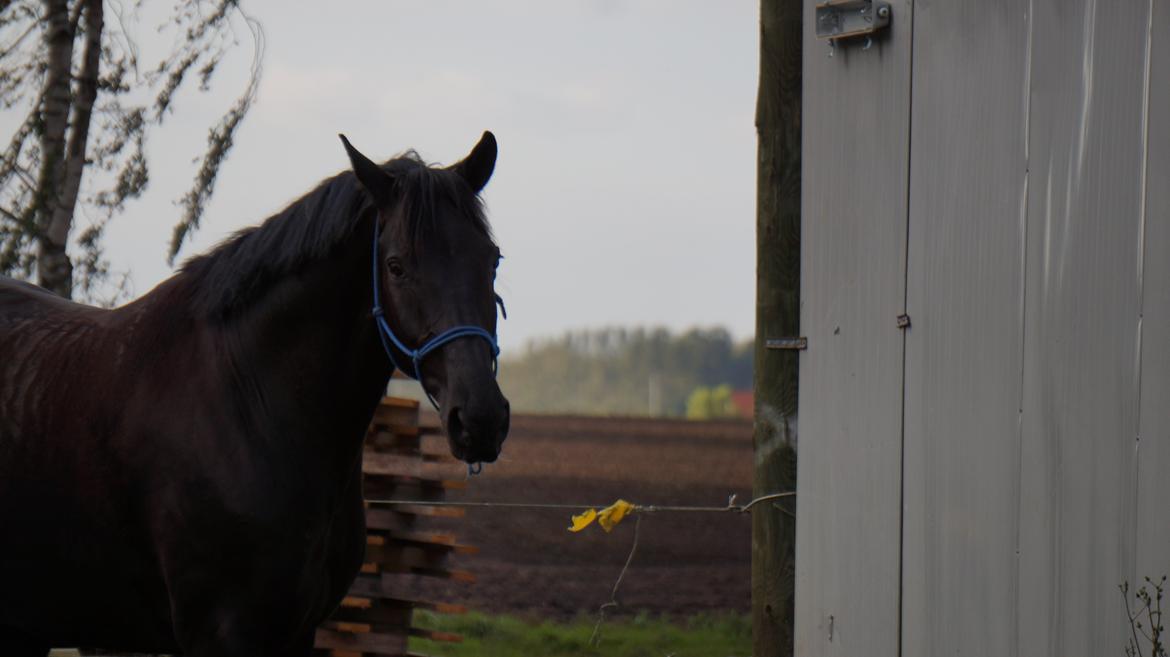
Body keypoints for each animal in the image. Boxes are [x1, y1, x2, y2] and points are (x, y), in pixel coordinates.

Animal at [0, 130, 507, 649]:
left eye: (492, 259)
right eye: (396, 266)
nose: (481, 418)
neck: (247, 402)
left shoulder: (300, 632)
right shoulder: (222, 631)